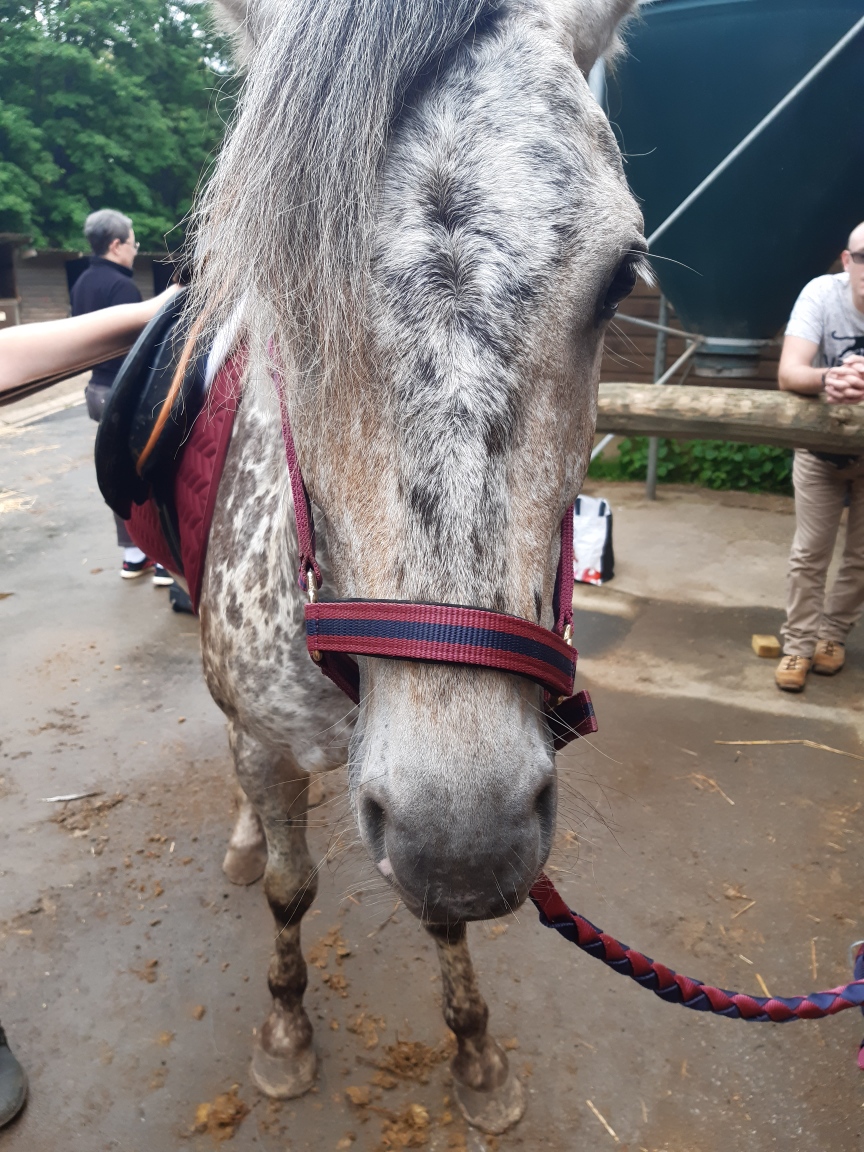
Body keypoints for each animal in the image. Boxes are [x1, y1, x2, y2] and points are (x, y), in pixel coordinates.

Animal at [190, 0, 646, 1132]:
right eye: (281, 289)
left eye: (622, 277)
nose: (465, 842)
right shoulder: (270, 744)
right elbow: (291, 891)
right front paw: (285, 1036)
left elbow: (445, 926)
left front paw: (476, 1055)